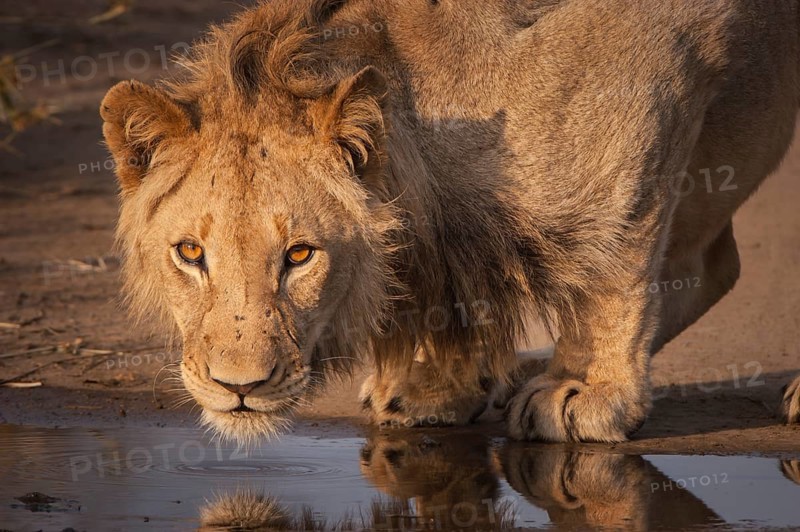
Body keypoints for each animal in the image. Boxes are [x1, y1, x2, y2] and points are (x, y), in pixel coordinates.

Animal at [101, 0, 800, 444]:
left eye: (299, 255)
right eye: (190, 253)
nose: (238, 387)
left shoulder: (647, 71)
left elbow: (611, 262)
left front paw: (586, 391)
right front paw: (437, 387)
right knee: (713, 265)